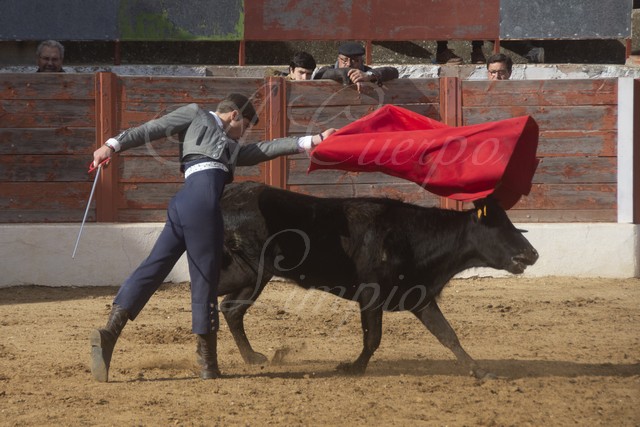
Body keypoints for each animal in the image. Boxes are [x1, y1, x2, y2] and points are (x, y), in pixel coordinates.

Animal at [216, 182, 538, 379]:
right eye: (500, 227)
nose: (532, 253)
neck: (413, 237)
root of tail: (229, 195)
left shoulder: (420, 298)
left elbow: (448, 335)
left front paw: (480, 371)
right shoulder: (371, 295)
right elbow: (373, 337)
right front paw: (353, 367)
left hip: (254, 275)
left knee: (231, 309)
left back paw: (251, 357)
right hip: (248, 270)